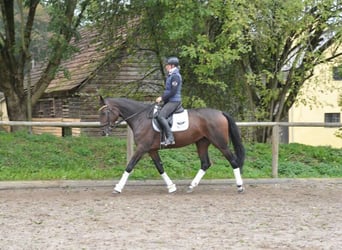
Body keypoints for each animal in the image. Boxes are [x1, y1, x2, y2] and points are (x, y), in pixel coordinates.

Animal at [99, 95, 246, 193]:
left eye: (104, 112)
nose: (103, 132)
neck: (140, 118)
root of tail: (220, 112)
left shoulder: (142, 148)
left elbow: (129, 166)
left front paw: (118, 188)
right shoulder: (151, 150)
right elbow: (160, 167)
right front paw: (171, 187)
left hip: (220, 143)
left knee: (233, 161)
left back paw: (240, 186)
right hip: (202, 142)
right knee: (205, 163)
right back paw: (191, 186)